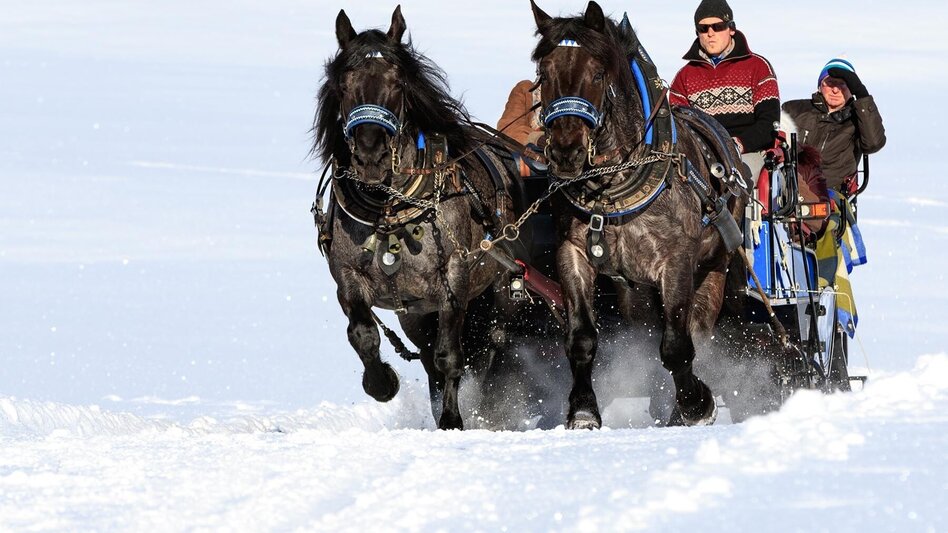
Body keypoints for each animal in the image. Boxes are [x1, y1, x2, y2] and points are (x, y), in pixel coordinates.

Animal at [311, 6, 527, 430]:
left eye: (398, 84)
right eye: (344, 85)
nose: (371, 156)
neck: (389, 210)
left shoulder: (453, 283)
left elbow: (450, 357)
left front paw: (453, 420)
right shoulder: (348, 279)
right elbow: (363, 335)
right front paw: (382, 384)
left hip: (500, 292)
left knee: (493, 346)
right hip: (416, 314)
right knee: (431, 359)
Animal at [529, 1, 748, 428]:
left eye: (598, 74)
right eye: (543, 75)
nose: (565, 152)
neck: (614, 186)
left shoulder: (676, 260)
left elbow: (677, 345)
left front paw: (695, 404)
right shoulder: (573, 254)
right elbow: (581, 338)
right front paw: (583, 411)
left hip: (715, 266)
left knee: (697, 330)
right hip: (636, 292)